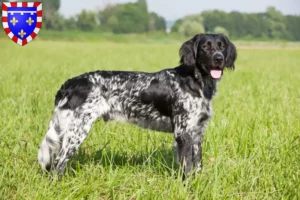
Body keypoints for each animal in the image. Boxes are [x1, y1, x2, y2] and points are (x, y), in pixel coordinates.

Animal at [37, 33, 237, 178]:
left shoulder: (197, 132)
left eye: (222, 46)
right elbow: (187, 167)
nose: (219, 58)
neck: (195, 82)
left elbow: (197, 164)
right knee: (58, 163)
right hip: (77, 130)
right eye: (205, 46)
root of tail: (70, 83)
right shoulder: (183, 132)